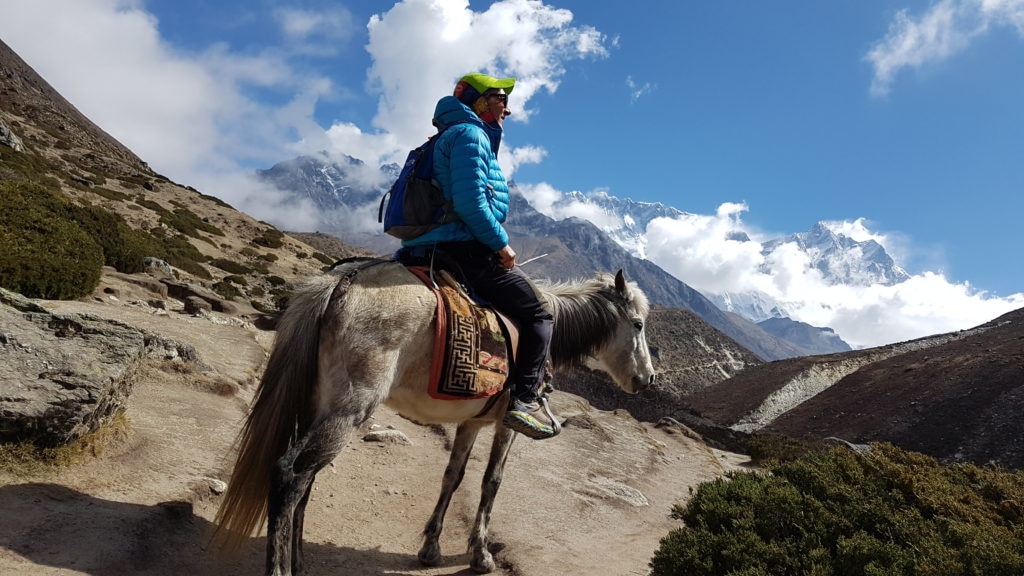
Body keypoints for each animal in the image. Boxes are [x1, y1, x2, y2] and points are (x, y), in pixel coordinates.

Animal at [215, 260, 655, 573]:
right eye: (637, 324)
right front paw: (480, 555)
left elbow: (453, 476)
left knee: (304, 483)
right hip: (349, 409)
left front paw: (431, 547)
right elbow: (491, 482)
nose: (648, 379)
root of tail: (342, 282)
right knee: (290, 475)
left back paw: (302, 564)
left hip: (317, 404)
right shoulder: (506, 425)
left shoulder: (471, 422)